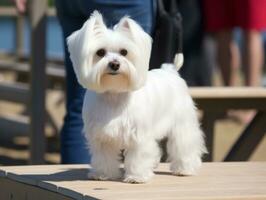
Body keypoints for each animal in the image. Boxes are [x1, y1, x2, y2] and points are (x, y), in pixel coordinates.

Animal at [66, 10, 206, 183]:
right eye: (100, 52)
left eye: (124, 52)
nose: (114, 64)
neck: (114, 95)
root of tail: (170, 70)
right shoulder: (102, 137)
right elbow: (104, 157)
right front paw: (103, 174)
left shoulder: (139, 135)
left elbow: (138, 156)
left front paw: (136, 176)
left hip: (182, 124)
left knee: (184, 144)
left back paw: (185, 169)